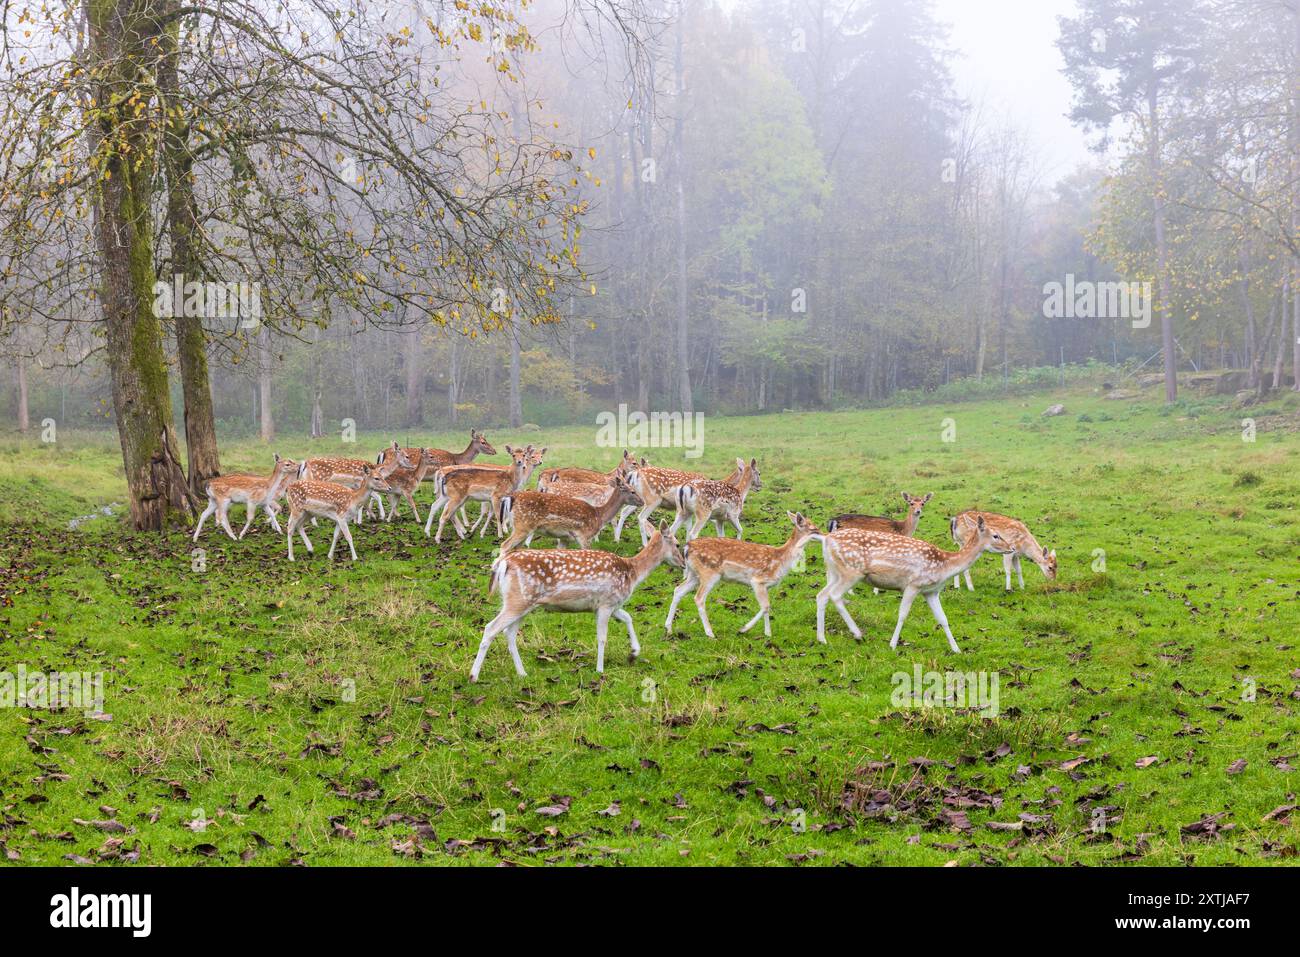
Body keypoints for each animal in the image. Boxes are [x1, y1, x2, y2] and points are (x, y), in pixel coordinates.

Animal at [470, 521, 685, 681]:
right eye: (677, 543)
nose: (684, 563)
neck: (632, 573)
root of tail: (503, 564)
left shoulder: (609, 604)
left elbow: (628, 617)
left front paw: (634, 652)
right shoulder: (606, 603)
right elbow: (602, 637)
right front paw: (600, 669)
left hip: (523, 603)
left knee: (509, 633)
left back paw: (522, 673)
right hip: (518, 600)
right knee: (491, 628)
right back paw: (474, 676)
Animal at [497, 475, 644, 555]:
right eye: (632, 491)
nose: (642, 501)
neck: (599, 515)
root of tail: (510, 498)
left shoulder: (564, 538)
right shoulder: (584, 535)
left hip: (520, 527)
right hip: (523, 526)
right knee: (504, 546)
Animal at [666, 511, 822, 638]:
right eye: (813, 528)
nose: (824, 534)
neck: (780, 562)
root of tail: (686, 548)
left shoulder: (766, 586)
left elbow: (767, 607)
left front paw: (767, 633)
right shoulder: (757, 580)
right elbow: (766, 606)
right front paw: (744, 629)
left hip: (694, 575)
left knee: (678, 590)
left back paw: (668, 628)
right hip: (709, 573)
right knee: (698, 598)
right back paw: (710, 633)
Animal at [815, 516, 1014, 652]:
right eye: (996, 535)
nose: (1011, 547)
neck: (945, 566)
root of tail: (826, 540)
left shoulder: (931, 591)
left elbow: (943, 619)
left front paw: (956, 649)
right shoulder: (913, 584)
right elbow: (903, 614)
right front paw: (892, 644)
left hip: (834, 572)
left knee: (822, 595)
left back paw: (822, 638)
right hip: (851, 571)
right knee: (834, 595)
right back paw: (857, 633)